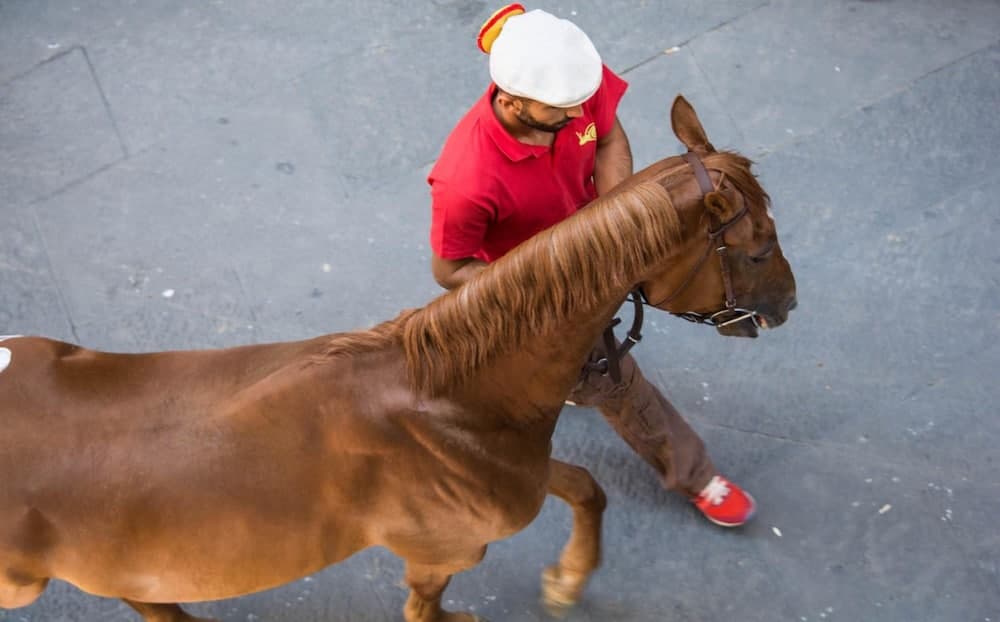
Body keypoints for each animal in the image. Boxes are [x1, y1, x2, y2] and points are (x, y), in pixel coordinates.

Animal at [0, 96, 796, 622]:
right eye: (758, 248)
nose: (787, 304)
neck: (451, 395)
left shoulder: (512, 480)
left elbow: (587, 488)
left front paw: (568, 581)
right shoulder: (443, 551)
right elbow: (426, 611)